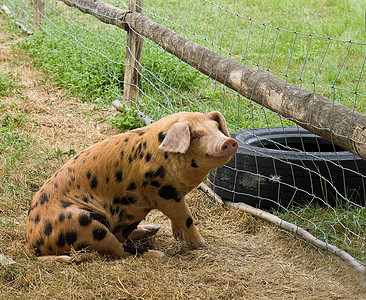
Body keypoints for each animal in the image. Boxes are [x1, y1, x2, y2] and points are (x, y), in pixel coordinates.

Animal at [25, 111, 237, 258]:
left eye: (217, 128)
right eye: (197, 135)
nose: (229, 141)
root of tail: (32, 243)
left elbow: (177, 219)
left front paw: (177, 236)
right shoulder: (163, 192)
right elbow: (187, 218)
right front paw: (203, 245)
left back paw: (152, 229)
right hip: (84, 225)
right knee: (120, 249)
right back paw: (161, 255)